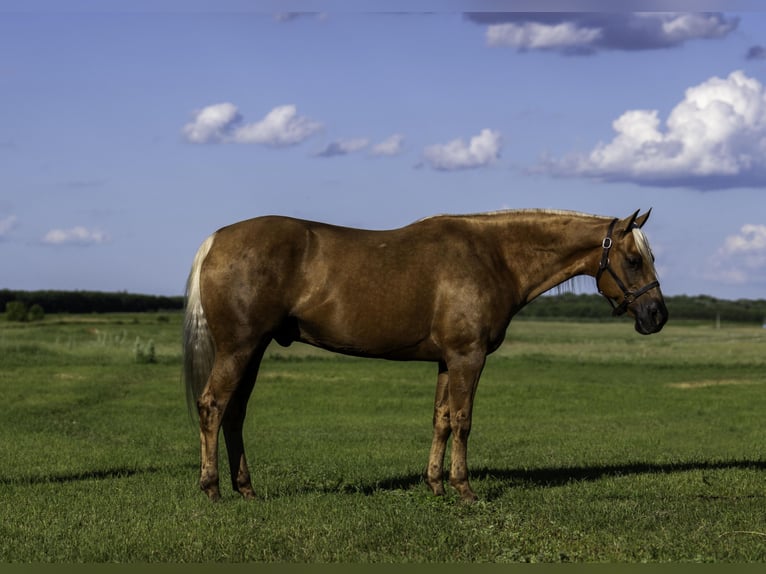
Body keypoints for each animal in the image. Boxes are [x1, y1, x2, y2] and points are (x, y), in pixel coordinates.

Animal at [183, 208, 668, 503]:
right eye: (634, 260)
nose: (657, 315)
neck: (493, 256)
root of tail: (215, 240)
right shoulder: (468, 358)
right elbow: (464, 421)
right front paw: (464, 488)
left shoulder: (446, 360)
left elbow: (441, 420)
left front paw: (436, 484)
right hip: (240, 348)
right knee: (212, 406)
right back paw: (212, 488)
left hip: (253, 350)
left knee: (234, 414)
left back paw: (245, 488)